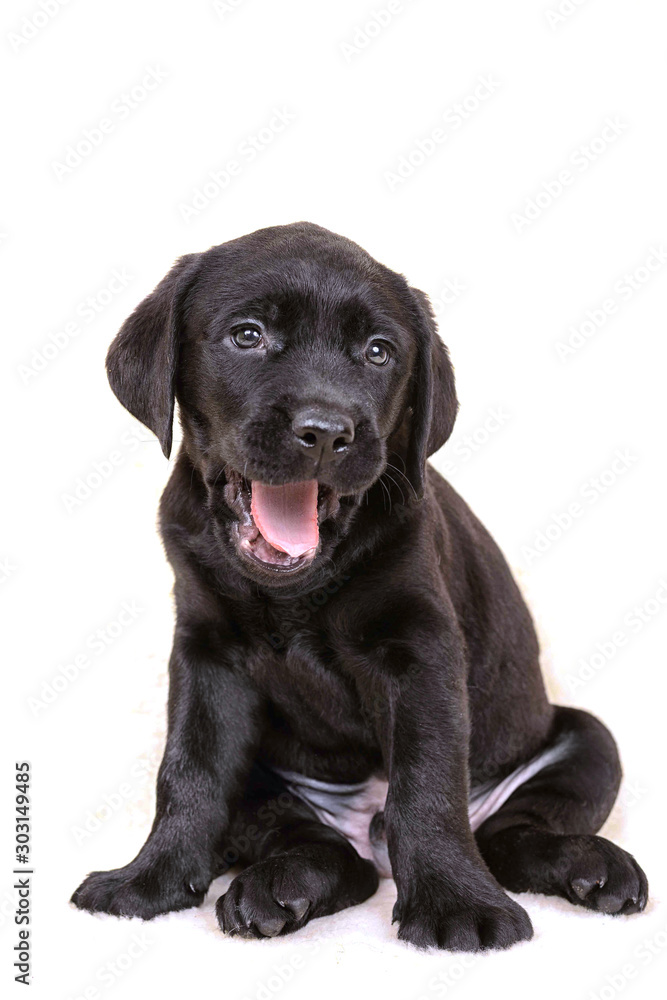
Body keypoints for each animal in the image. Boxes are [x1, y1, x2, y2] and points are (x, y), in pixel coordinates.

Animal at [72, 223, 648, 948]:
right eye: (247, 335)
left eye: (378, 353)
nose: (325, 432)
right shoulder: (205, 655)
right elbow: (188, 772)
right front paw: (149, 882)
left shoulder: (419, 650)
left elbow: (426, 784)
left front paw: (456, 903)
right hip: (265, 786)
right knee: (332, 855)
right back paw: (276, 890)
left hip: (584, 740)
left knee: (507, 836)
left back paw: (592, 870)